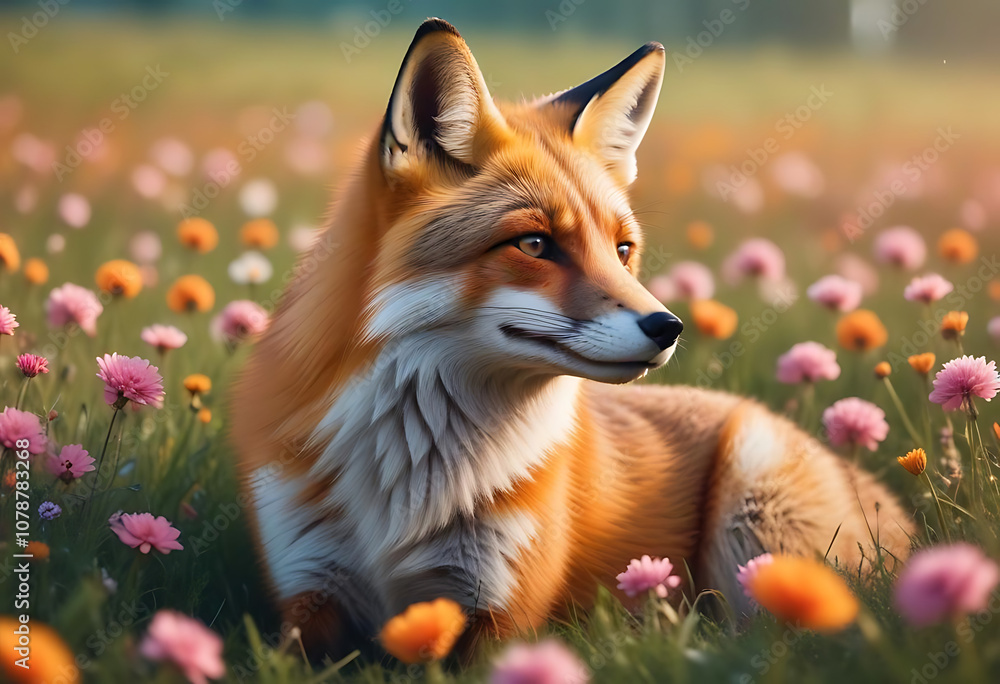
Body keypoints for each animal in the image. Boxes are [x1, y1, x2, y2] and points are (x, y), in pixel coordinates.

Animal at [230, 18, 913, 658]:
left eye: (622, 249)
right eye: (534, 244)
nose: (670, 327)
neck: (405, 475)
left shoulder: (499, 613)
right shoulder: (306, 593)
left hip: (756, 527)